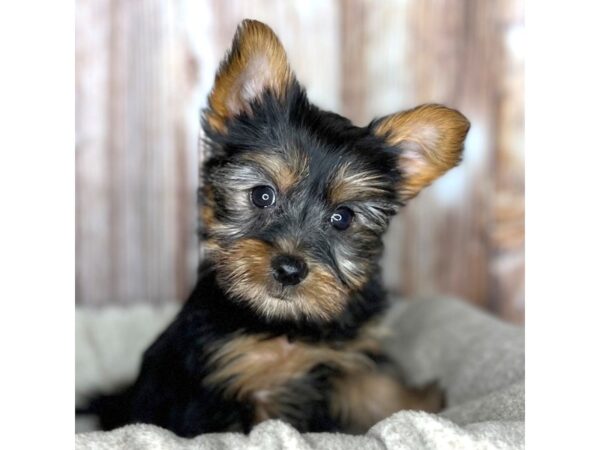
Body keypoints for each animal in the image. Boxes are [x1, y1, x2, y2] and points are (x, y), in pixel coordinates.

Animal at [91, 19, 472, 438]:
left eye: (342, 218)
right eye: (262, 196)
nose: (290, 269)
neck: (287, 323)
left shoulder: (345, 359)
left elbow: (377, 389)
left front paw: (423, 405)